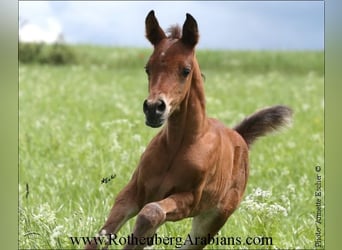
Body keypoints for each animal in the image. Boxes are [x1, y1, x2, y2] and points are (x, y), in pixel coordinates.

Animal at [85, 10, 292, 250]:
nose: (154, 108)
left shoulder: (190, 200)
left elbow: (151, 212)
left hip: (212, 219)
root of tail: (239, 135)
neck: (178, 145)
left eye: (185, 70)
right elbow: (101, 236)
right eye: (148, 68)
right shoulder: (133, 191)